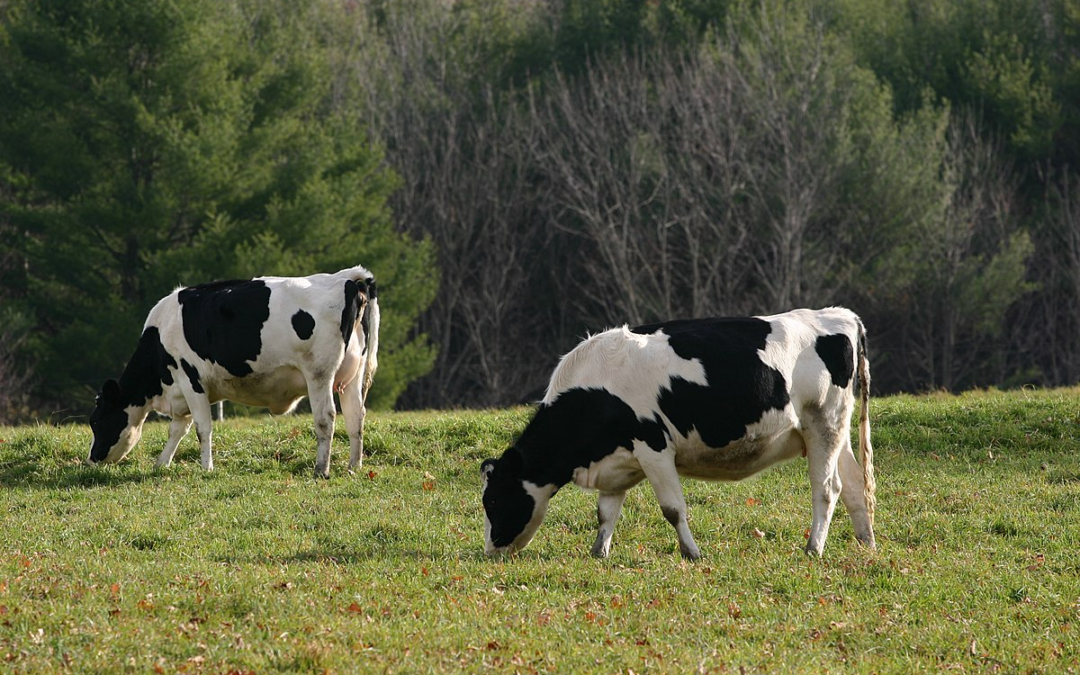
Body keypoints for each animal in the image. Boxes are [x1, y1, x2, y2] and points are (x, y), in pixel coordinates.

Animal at [89, 264, 384, 479]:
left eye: (96, 421)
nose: (91, 459)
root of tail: (348, 277)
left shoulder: (190, 378)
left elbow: (202, 428)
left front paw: (206, 468)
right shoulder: (182, 390)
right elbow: (178, 429)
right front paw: (162, 463)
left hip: (319, 373)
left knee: (326, 419)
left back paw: (321, 470)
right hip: (352, 376)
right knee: (355, 418)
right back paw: (354, 467)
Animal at [481, 306, 876, 557]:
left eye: (493, 500)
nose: (490, 550)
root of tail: (839, 314)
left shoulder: (653, 446)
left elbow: (672, 508)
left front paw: (692, 552)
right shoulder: (617, 460)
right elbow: (606, 512)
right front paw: (599, 552)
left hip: (823, 422)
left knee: (826, 489)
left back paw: (814, 548)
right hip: (834, 430)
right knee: (854, 485)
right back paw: (866, 543)